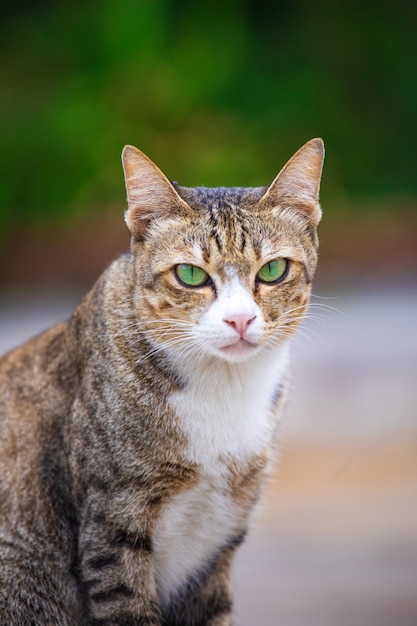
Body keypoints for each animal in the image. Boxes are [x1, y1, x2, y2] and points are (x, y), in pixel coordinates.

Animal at [0, 138, 322, 624]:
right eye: (190, 275)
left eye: (272, 271)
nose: (240, 319)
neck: (223, 388)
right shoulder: (113, 522)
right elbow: (128, 602)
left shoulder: (218, 539)